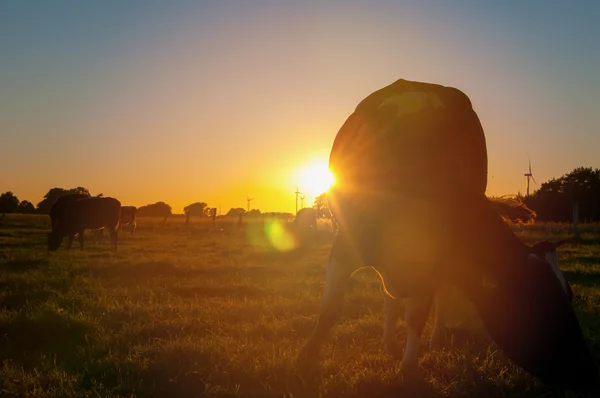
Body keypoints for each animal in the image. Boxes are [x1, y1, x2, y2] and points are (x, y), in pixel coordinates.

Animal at [298, 77, 596, 388]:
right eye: (535, 297)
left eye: (569, 293)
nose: (588, 371)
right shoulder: (346, 242)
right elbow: (329, 310)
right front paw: (306, 359)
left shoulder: (434, 260)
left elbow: (417, 316)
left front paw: (409, 369)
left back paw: (433, 338)